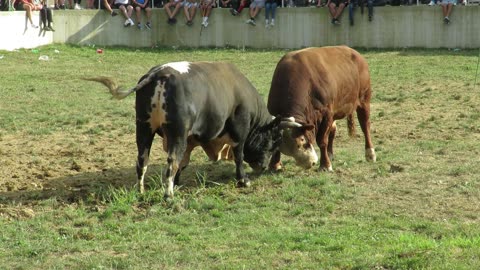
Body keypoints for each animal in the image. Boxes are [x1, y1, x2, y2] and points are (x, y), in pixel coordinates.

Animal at [85, 62, 292, 199]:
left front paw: (177, 182)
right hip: (176, 134)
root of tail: (159, 74)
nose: (263, 167)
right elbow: (239, 157)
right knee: (171, 161)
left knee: (142, 161)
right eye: (274, 140)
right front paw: (243, 180)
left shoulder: (190, 139)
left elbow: (183, 162)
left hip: (144, 129)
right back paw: (168, 195)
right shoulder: (239, 132)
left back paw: (141, 191)